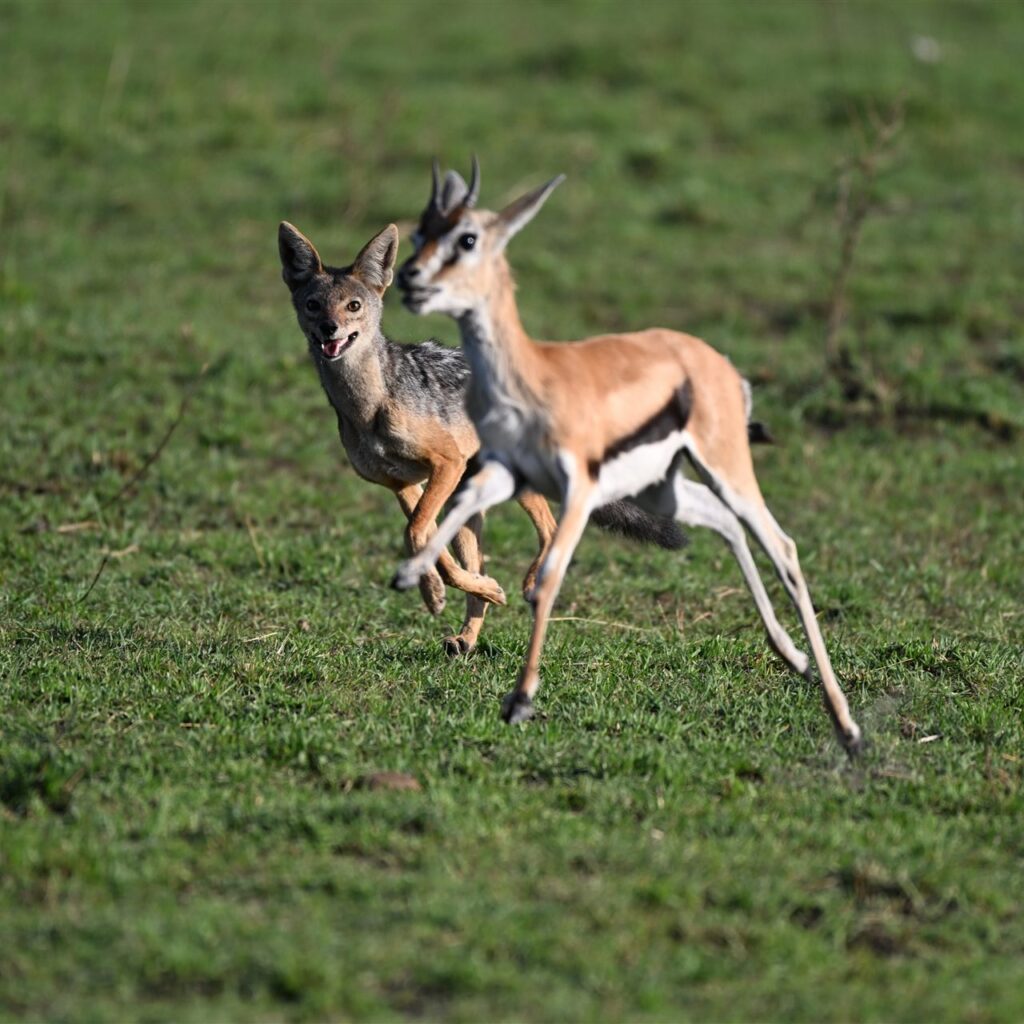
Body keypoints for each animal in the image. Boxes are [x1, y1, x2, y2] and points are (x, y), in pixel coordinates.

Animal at [391, 159, 862, 753]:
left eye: (468, 238)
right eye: (421, 232)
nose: (410, 279)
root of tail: (715, 359)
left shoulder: (579, 489)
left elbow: (548, 576)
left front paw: (520, 697)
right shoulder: (500, 473)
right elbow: (445, 519)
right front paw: (429, 588)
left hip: (724, 467)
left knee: (781, 545)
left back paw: (846, 723)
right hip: (667, 488)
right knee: (727, 524)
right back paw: (793, 658)